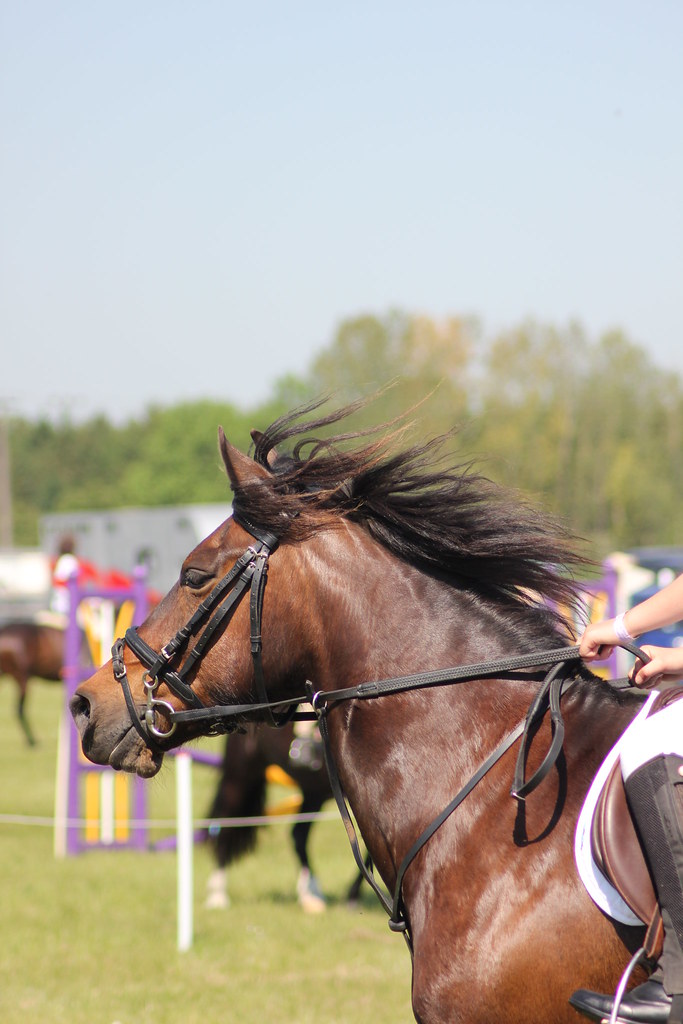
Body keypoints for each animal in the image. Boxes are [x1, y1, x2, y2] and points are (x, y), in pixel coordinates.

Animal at [205, 721, 365, 912]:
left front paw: (354, 896)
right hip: (239, 778)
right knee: (226, 827)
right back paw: (218, 896)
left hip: (314, 790)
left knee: (298, 835)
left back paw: (311, 893)